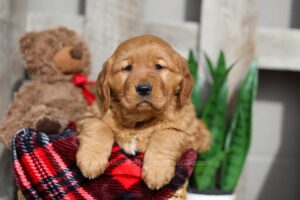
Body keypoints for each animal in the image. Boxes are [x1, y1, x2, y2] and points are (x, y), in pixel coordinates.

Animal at [76, 34, 210, 189]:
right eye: (127, 68)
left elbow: (165, 135)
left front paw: (157, 172)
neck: (139, 120)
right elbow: (98, 126)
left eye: (159, 67)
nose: (144, 88)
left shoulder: (190, 132)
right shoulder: (89, 115)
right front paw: (90, 160)